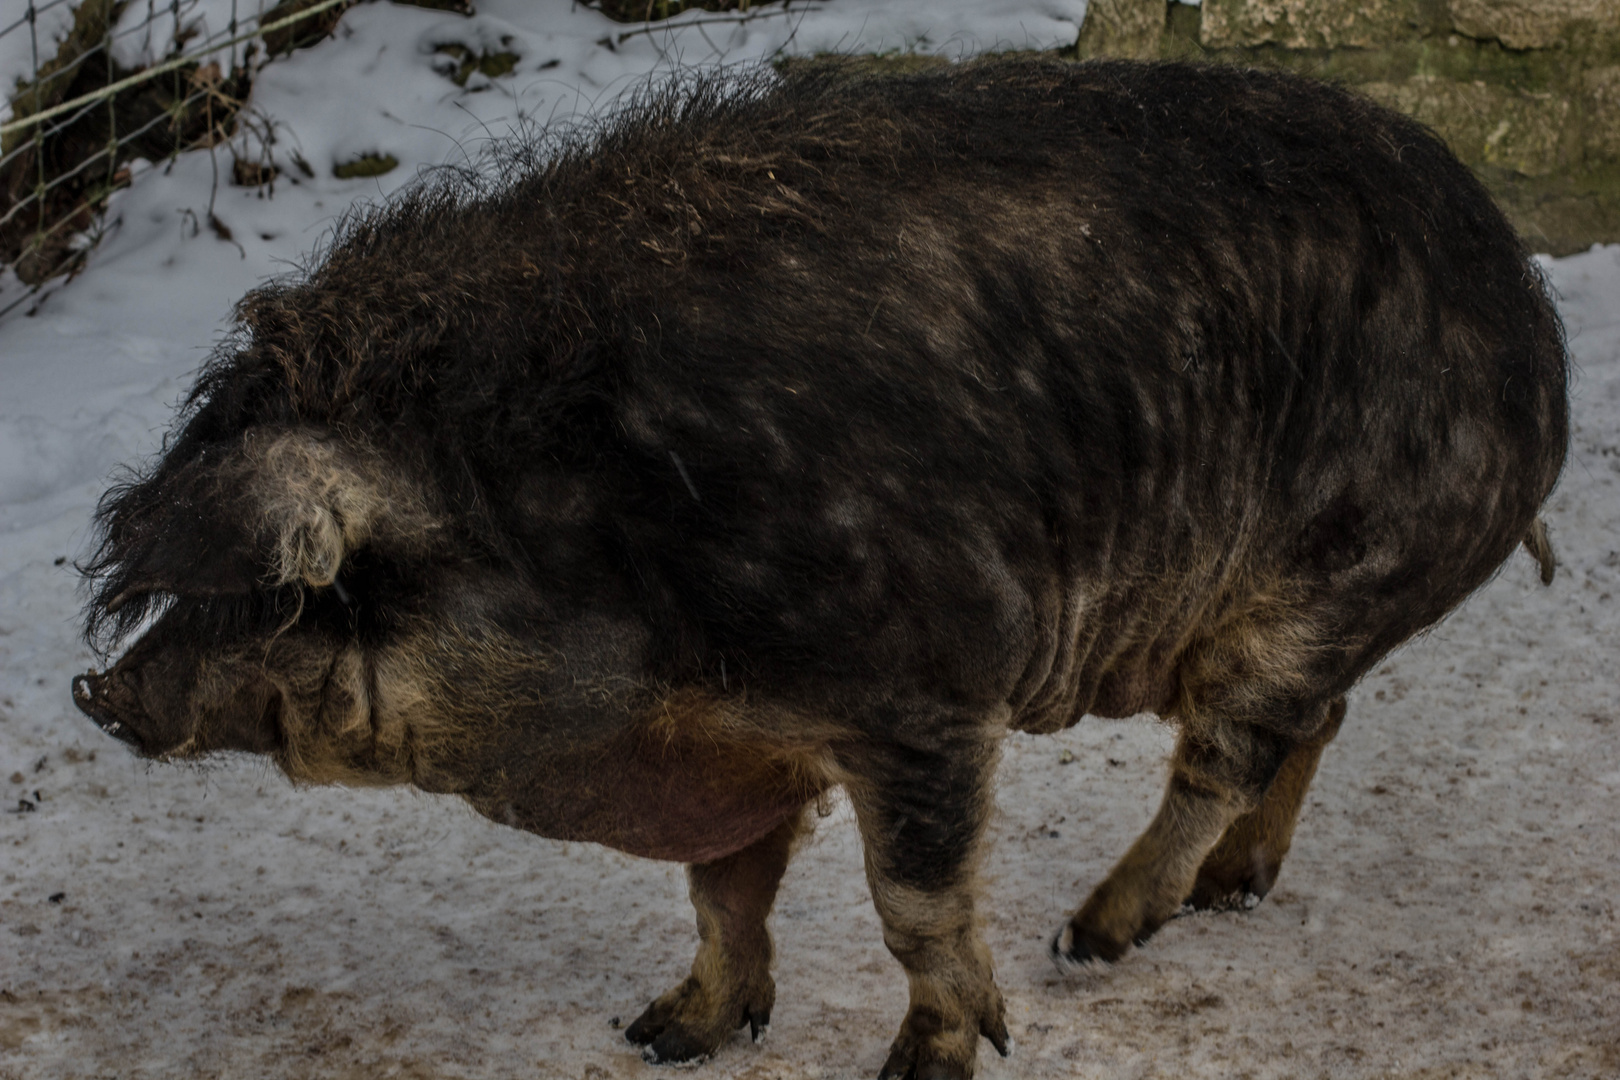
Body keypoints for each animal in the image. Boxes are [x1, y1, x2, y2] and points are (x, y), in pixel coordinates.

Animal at [76, 57, 1568, 1080]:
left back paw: (1093, 934)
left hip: (1325, 581)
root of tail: (1520, 298)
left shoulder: (926, 702)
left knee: (1231, 749)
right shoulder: (731, 745)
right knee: (1314, 725)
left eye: (287, 594)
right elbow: (723, 893)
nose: (101, 689)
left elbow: (914, 906)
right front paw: (663, 1034)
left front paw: (927, 1064)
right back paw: (1227, 894)